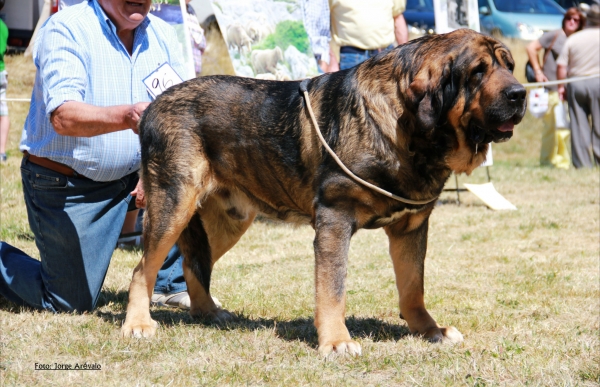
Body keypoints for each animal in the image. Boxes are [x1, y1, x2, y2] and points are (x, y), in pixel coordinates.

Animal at [120, 29, 524, 358]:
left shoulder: (410, 228)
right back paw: (137, 324)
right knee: (143, 269)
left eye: (510, 66)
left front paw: (431, 331)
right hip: (174, 205)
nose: (520, 93)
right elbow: (333, 289)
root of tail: (152, 106)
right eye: (477, 72)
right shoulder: (334, 221)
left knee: (194, 263)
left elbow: (413, 287)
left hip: (229, 220)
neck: (403, 128)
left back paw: (209, 312)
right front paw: (336, 341)